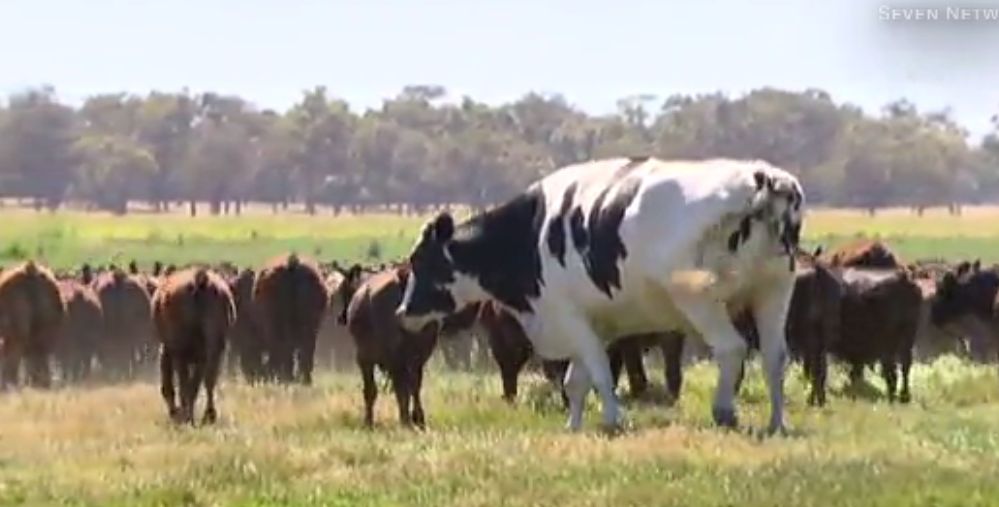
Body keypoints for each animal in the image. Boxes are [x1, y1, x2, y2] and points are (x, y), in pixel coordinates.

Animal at [152, 267, 236, 425]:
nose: (172, 414)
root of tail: (201, 280)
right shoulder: (200, 358)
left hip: (181, 351)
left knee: (186, 384)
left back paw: (188, 415)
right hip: (215, 347)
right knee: (209, 379)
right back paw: (208, 415)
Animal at [394, 156, 805, 433]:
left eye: (420, 260)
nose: (402, 312)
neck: (531, 235)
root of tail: (763, 178)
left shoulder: (569, 316)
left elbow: (600, 373)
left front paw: (613, 419)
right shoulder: (595, 322)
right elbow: (576, 380)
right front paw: (574, 427)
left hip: (699, 298)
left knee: (732, 348)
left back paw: (724, 411)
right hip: (774, 290)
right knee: (774, 358)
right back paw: (778, 422)